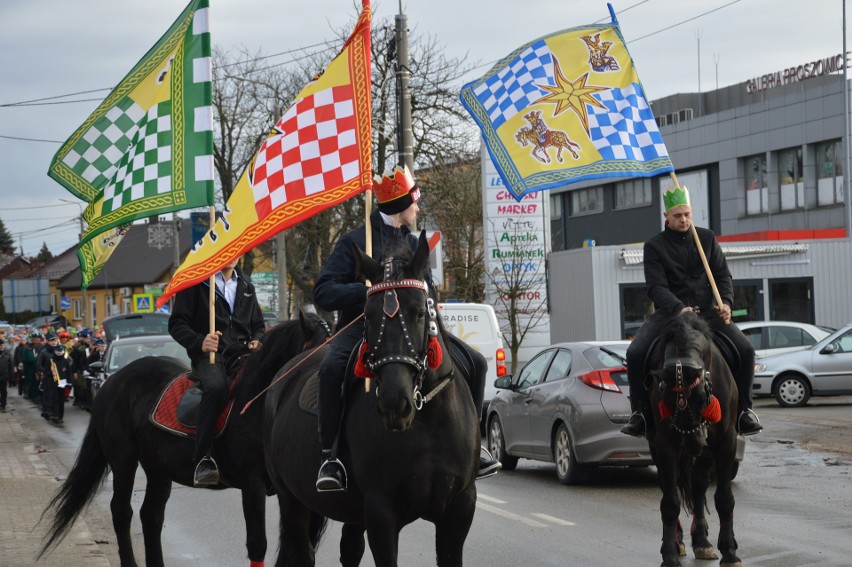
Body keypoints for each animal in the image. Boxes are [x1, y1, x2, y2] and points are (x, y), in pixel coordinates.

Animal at [40, 312, 332, 564]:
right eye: (317, 352)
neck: (259, 402)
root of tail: (113, 382)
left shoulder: (290, 492)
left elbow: (300, 551)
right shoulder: (253, 485)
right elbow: (258, 544)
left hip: (158, 468)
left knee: (151, 516)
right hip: (123, 460)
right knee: (122, 512)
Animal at [266, 232, 480, 567]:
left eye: (420, 313)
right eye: (368, 315)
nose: (395, 403)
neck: (429, 422)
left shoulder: (459, 509)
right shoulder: (381, 511)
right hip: (292, 499)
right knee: (301, 552)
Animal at [648, 312, 744, 567]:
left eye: (702, 398)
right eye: (666, 400)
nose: (692, 443)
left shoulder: (726, 442)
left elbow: (724, 498)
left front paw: (729, 551)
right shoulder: (665, 445)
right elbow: (670, 503)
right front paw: (669, 554)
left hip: (707, 453)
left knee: (699, 487)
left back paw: (702, 541)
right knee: (671, 487)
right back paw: (679, 541)